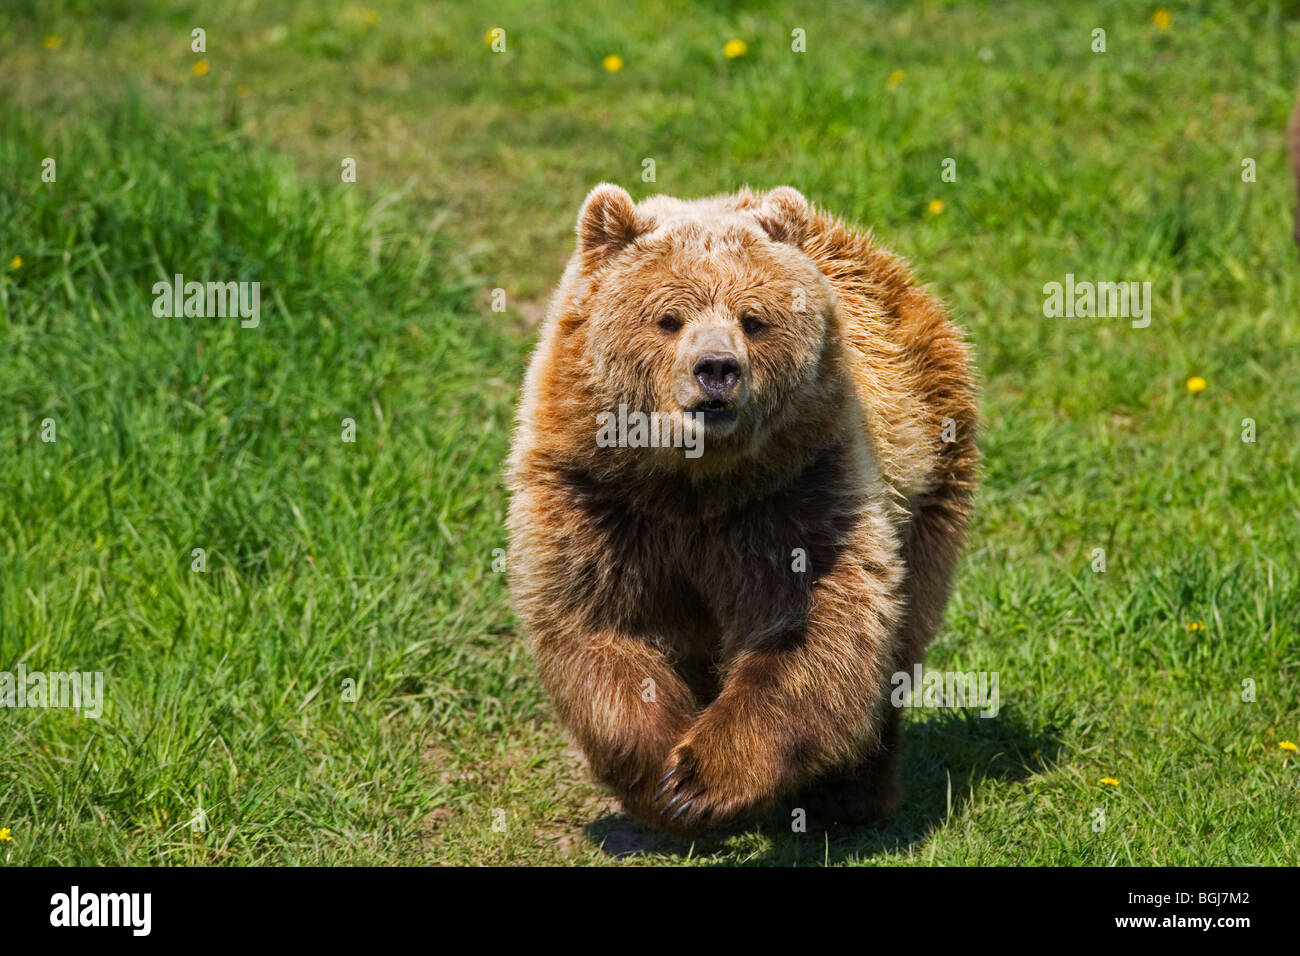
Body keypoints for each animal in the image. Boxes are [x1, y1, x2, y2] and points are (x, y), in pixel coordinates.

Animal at [506, 184, 978, 836]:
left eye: (753, 320)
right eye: (668, 318)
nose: (717, 369)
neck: (693, 486)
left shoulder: (797, 492)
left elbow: (812, 633)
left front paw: (701, 779)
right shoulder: (596, 500)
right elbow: (599, 630)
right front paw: (659, 778)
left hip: (931, 472)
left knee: (900, 637)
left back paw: (851, 794)